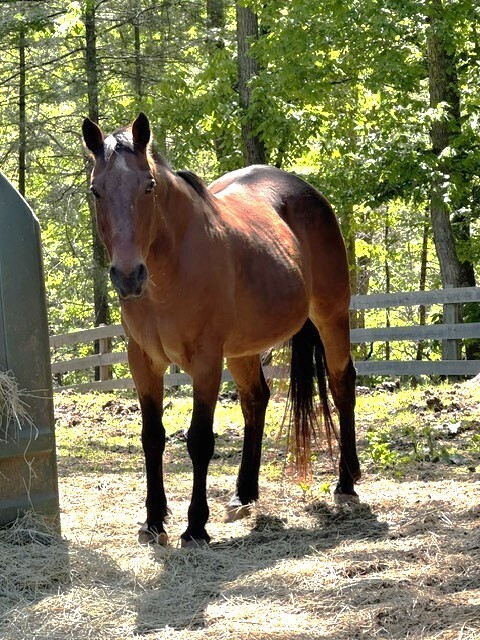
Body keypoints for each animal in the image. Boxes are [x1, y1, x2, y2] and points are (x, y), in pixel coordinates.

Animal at [82, 113, 360, 547]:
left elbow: (199, 439)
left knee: (341, 383)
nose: (128, 276)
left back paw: (346, 483)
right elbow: (152, 436)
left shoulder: (206, 361)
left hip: (331, 316)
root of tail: (308, 192)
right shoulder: (142, 361)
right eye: (96, 191)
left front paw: (195, 526)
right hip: (244, 349)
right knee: (256, 400)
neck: (170, 269)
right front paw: (154, 520)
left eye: (148, 186)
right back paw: (244, 492)